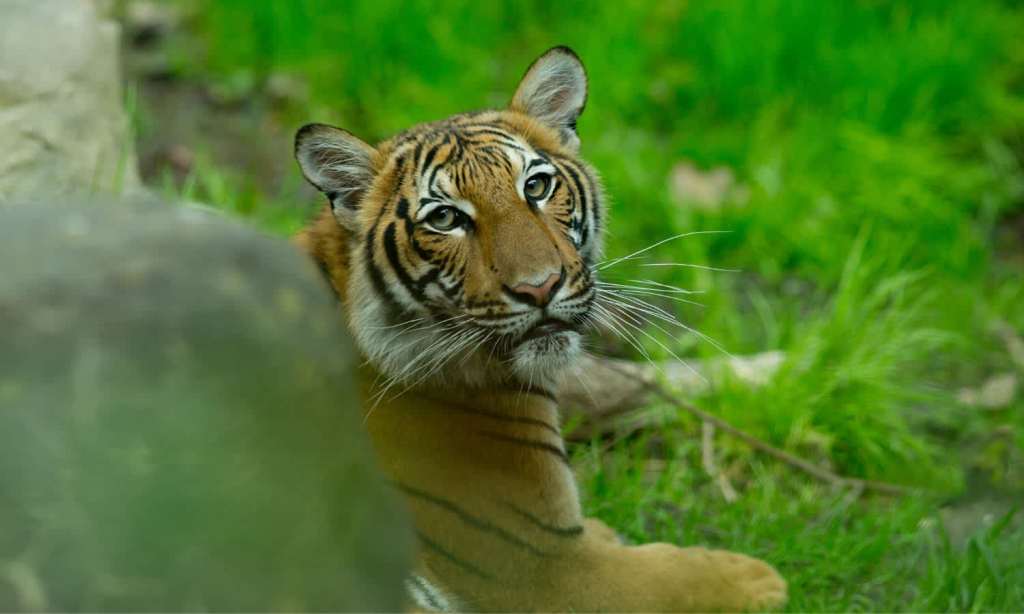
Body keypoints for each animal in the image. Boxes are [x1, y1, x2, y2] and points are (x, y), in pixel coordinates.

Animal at [294, 46, 788, 612]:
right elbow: (672, 575)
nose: (540, 287)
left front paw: (779, 372)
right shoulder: (545, 566)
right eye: (444, 219)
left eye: (536, 186)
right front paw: (758, 578)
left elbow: (638, 380)